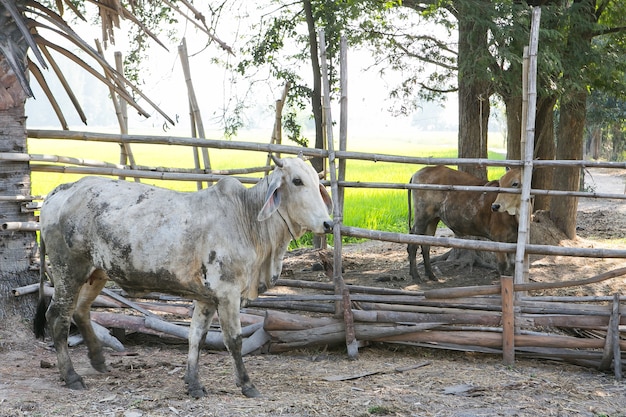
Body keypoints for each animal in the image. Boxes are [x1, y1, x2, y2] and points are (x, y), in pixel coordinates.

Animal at [34, 155, 332, 396]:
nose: (328, 223)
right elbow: (234, 340)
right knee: (57, 318)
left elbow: (196, 337)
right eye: (296, 181)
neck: (247, 219)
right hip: (68, 271)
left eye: (316, 181)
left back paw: (98, 359)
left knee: (81, 310)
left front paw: (193, 384)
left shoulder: (207, 297)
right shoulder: (227, 293)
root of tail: (61, 190)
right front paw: (247, 384)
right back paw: (71, 376)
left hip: (97, 272)